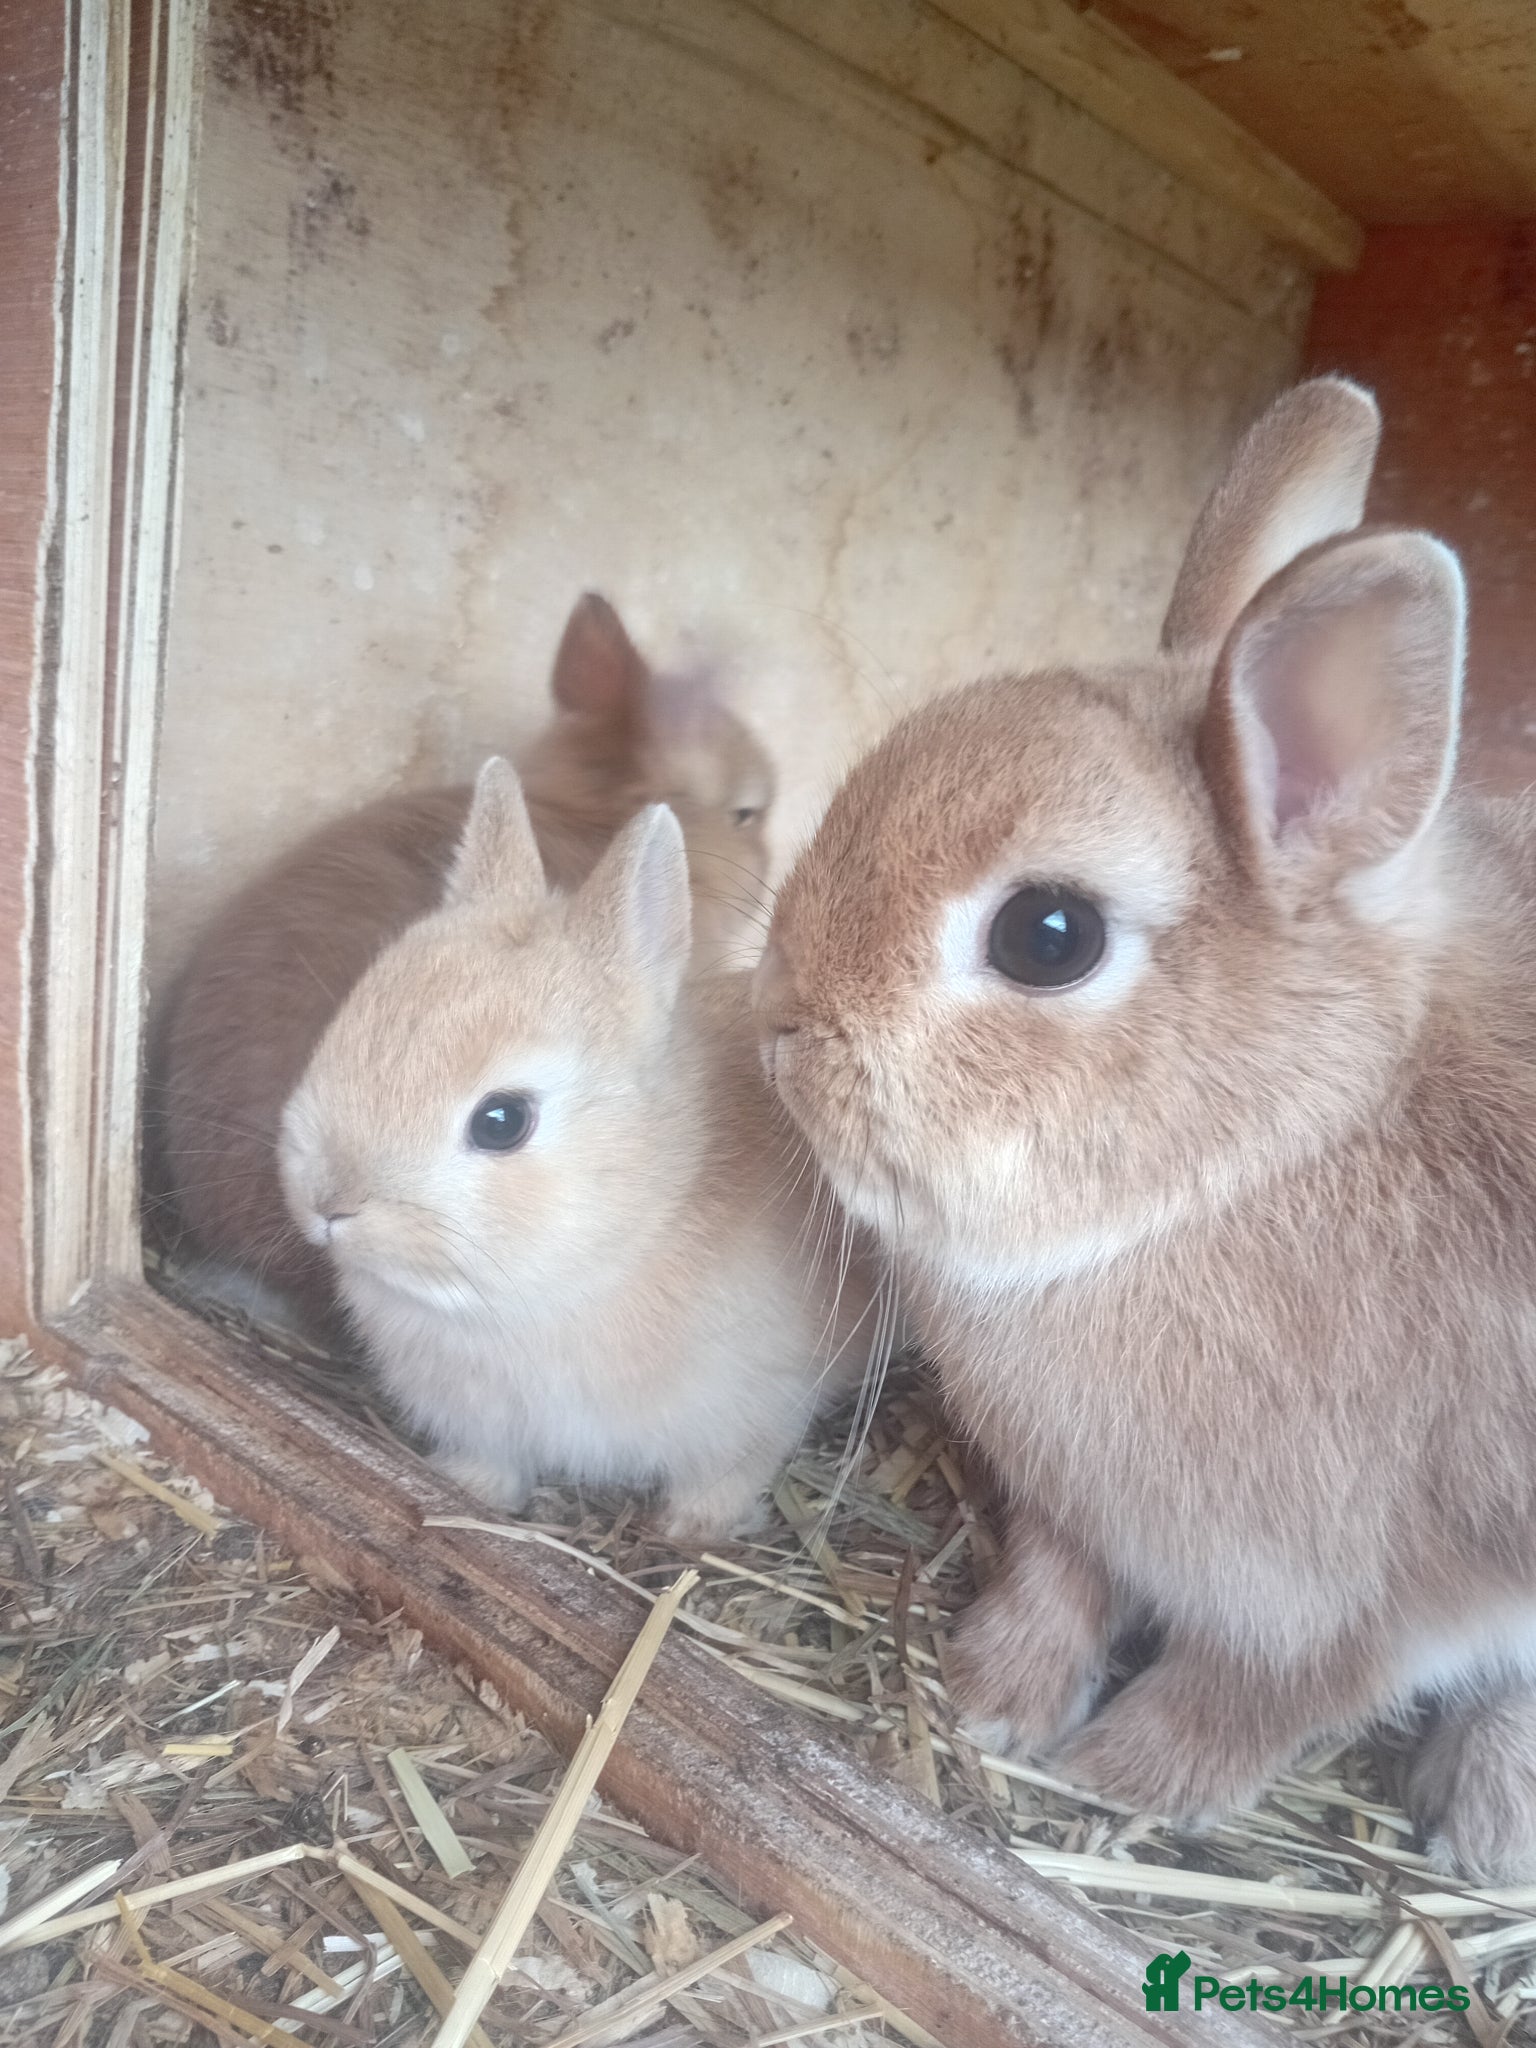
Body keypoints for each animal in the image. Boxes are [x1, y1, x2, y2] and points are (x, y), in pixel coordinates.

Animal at [276, 759, 881, 1535]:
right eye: (350, 1019)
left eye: (501, 1121)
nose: (329, 1204)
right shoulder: (482, 1423)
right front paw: (474, 1492)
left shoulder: (757, 1413)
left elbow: (726, 1476)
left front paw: (694, 1530)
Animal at [755, 373, 1536, 1881]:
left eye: (1046, 936)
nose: (779, 1022)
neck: (1257, 1159)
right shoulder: (1077, 1505)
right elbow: (1060, 1577)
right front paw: (993, 1697)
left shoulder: (1405, 1588)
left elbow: (1278, 1689)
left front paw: (1125, 1775)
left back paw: (1485, 1830)